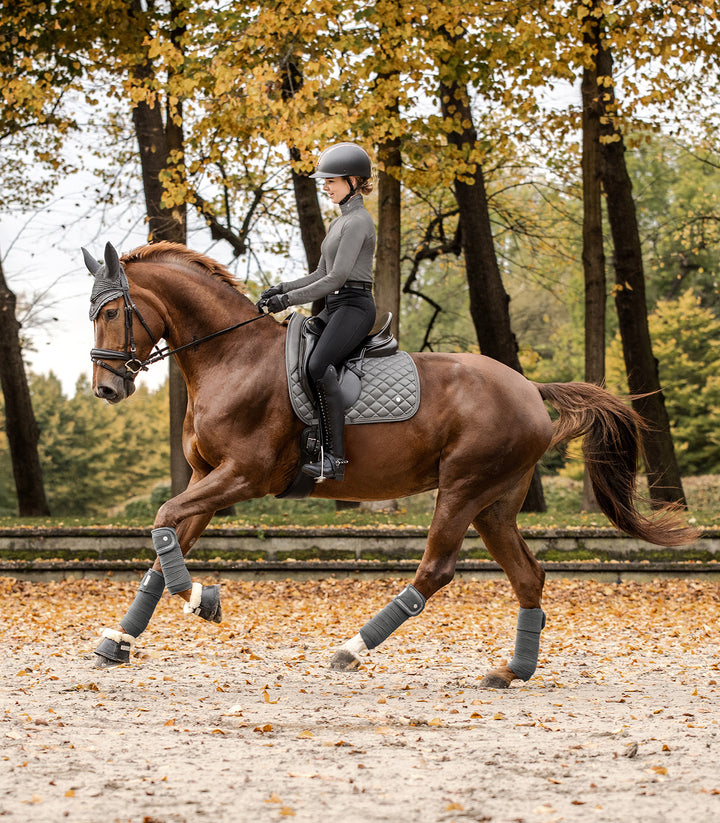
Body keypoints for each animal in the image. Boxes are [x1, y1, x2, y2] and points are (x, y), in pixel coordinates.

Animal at [84, 241, 696, 684]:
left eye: (112, 311)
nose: (106, 389)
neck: (231, 358)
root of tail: (528, 387)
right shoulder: (207, 478)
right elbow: (167, 544)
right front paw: (120, 640)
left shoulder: (242, 476)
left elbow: (164, 519)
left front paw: (202, 601)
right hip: (495, 503)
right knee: (528, 574)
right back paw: (513, 671)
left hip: (463, 490)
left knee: (437, 569)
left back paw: (351, 649)